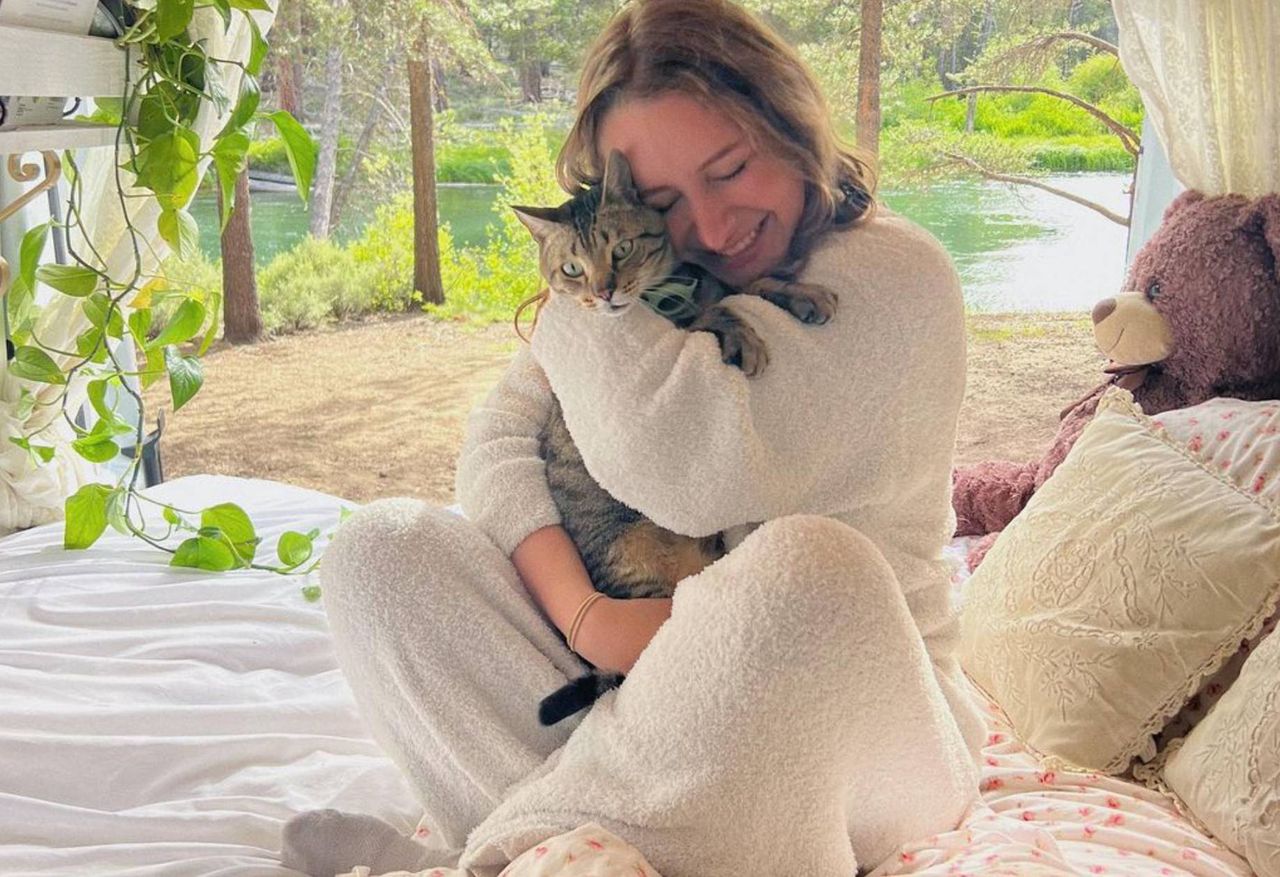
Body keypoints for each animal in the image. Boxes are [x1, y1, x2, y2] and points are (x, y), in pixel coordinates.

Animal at [514, 150, 834, 727]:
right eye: (572, 269)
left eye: (621, 248)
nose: (603, 292)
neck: (669, 292)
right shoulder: (691, 318)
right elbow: (721, 307)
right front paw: (743, 332)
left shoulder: (710, 286)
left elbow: (749, 283)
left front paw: (800, 292)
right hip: (645, 562)